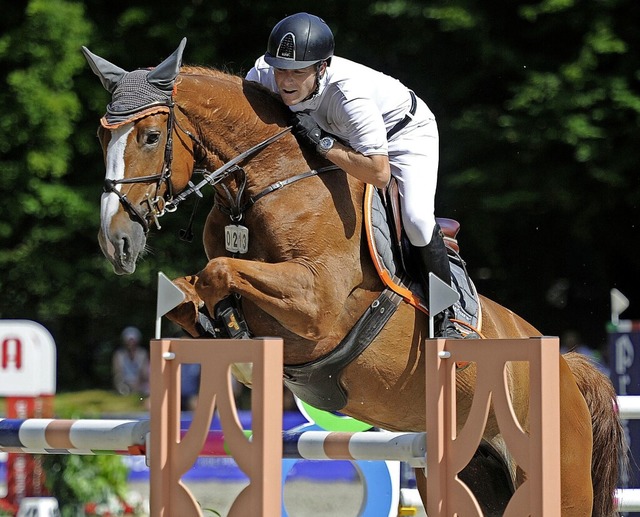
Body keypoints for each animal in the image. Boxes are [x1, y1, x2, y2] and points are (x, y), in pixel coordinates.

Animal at [82, 39, 624, 512]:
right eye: (103, 136)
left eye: (151, 136)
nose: (115, 242)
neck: (263, 183)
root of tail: (566, 368)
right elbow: (187, 292)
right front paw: (219, 331)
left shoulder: (316, 305)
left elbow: (221, 273)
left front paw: (234, 333)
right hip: (471, 472)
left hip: (557, 479)